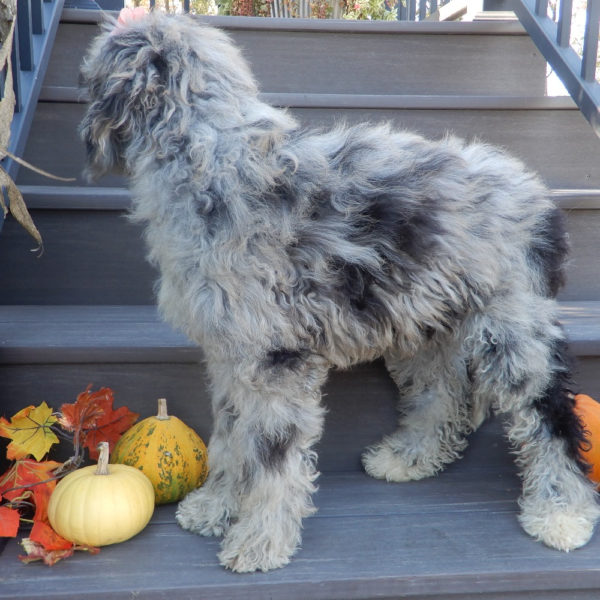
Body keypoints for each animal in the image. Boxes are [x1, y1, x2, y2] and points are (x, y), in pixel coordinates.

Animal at [81, 9, 600, 572]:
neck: (213, 158)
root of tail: (536, 192)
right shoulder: (230, 355)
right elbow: (230, 439)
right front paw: (216, 506)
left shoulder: (273, 361)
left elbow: (271, 458)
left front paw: (260, 539)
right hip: (427, 322)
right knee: (443, 395)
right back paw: (410, 458)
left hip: (511, 330)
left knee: (549, 417)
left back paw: (562, 512)